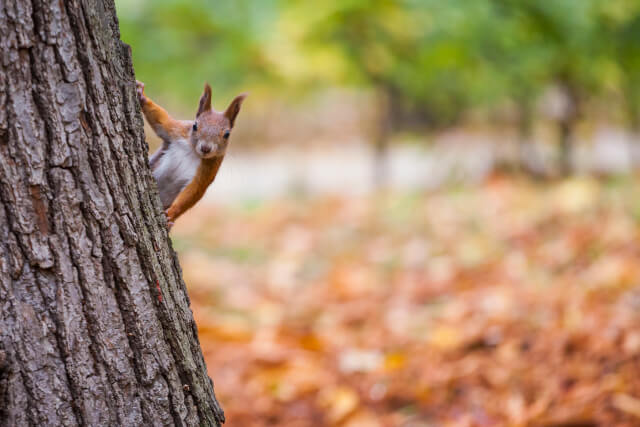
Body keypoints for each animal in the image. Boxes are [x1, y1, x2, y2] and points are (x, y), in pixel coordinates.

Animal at [136, 79, 246, 227]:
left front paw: (172, 215)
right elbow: (162, 120)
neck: (193, 152)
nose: (206, 148)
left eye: (227, 134)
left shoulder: (208, 170)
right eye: (195, 126)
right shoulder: (177, 130)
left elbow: (193, 191)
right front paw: (142, 95)